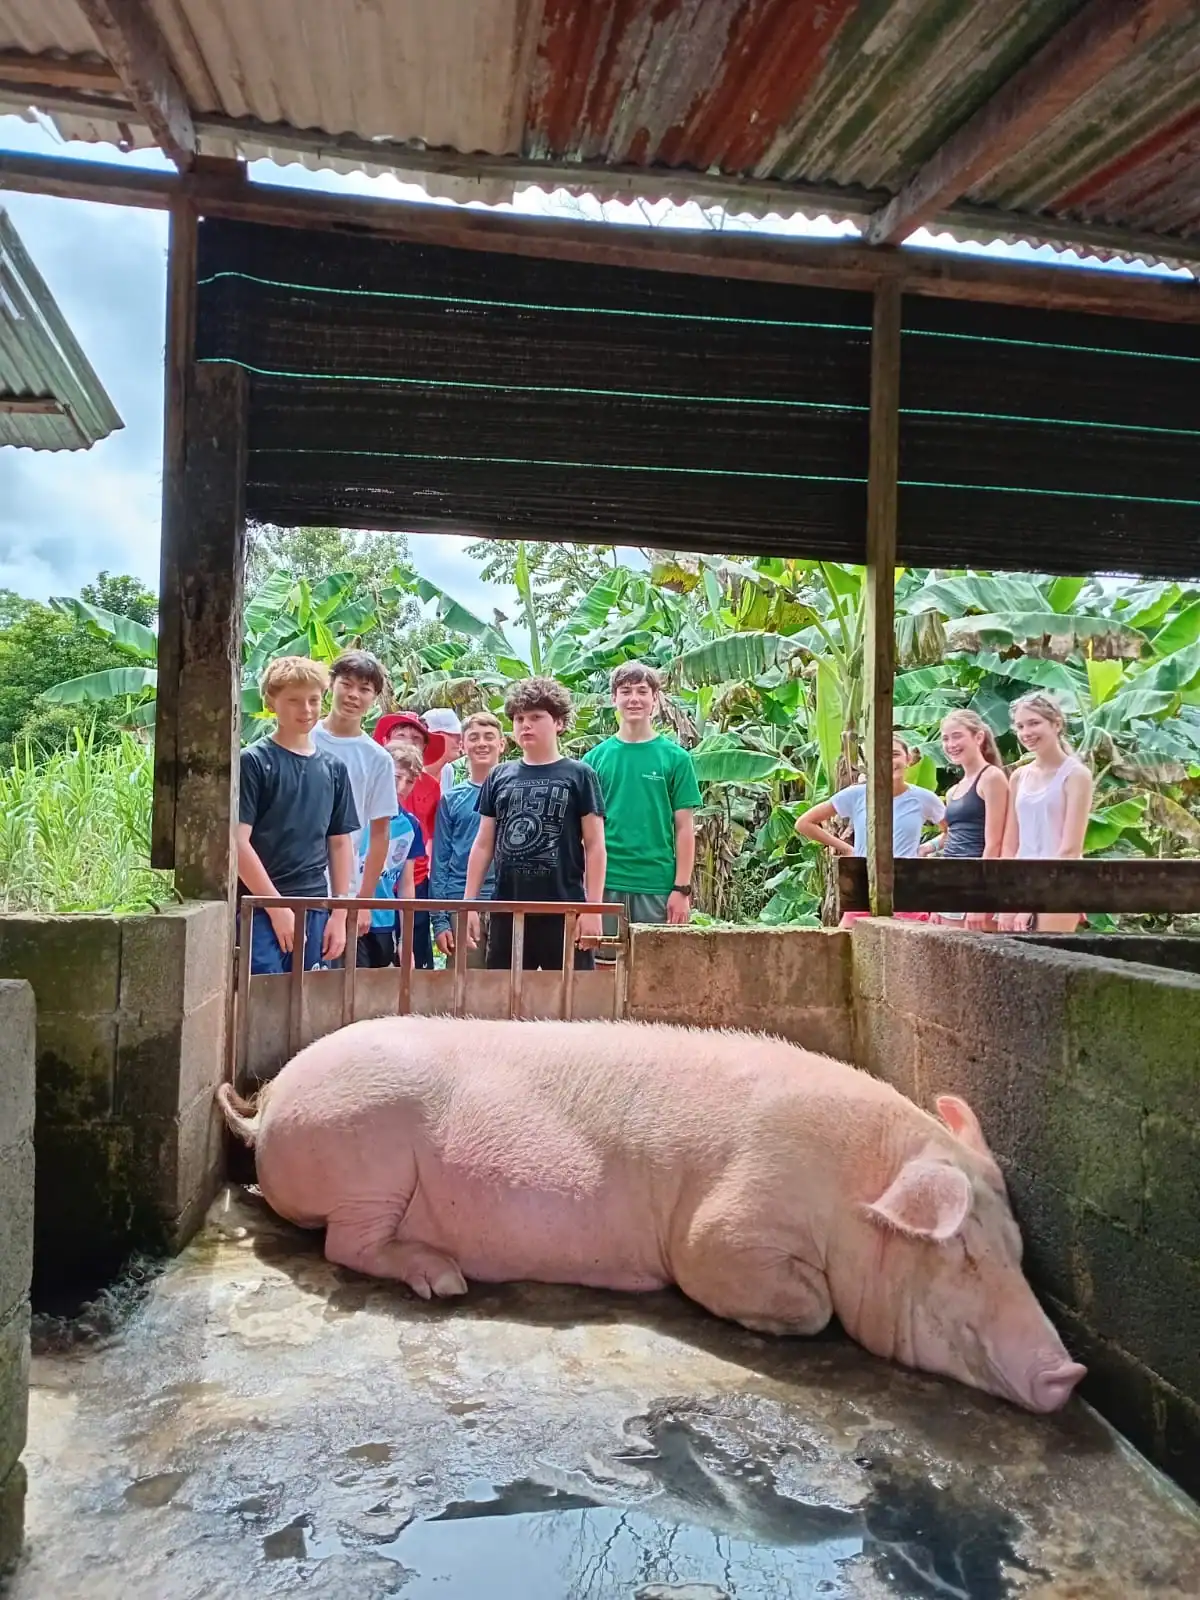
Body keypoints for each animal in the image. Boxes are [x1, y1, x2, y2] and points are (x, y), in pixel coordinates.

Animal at [217, 1016, 1085, 1413]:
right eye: (959, 1254)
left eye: (1015, 1248)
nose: (1070, 1372)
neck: (850, 1195)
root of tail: (272, 1103)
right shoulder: (724, 1231)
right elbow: (791, 1298)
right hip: (368, 1157)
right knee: (347, 1245)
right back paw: (445, 1280)